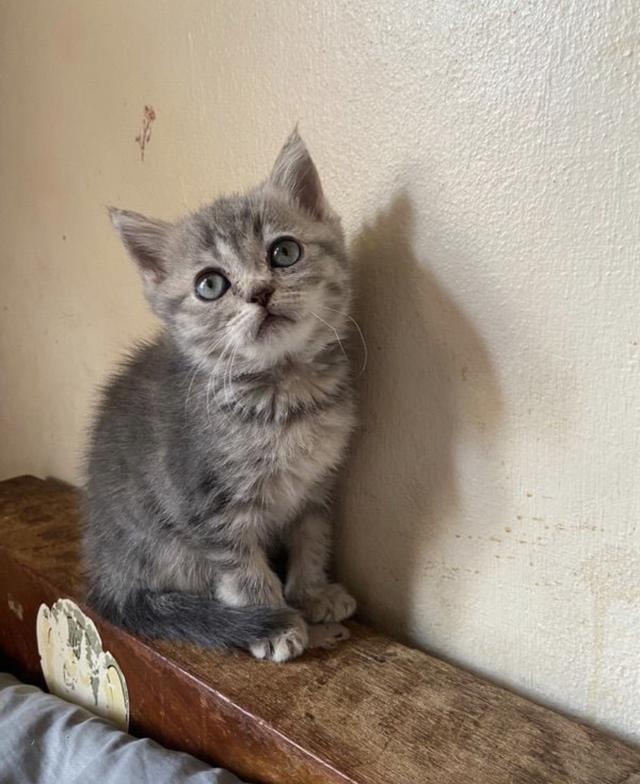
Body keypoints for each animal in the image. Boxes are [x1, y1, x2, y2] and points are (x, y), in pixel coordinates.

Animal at [82, 130, 358, 660]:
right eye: (210, 284)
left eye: (284, 253)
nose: (260, 292)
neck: (283, 395)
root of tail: (105, 573)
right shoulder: (208, 507)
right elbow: (244, 569)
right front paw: (276, 623)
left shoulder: (317, 484)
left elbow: (312, 538)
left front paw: (312, 593)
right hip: (168, 550)